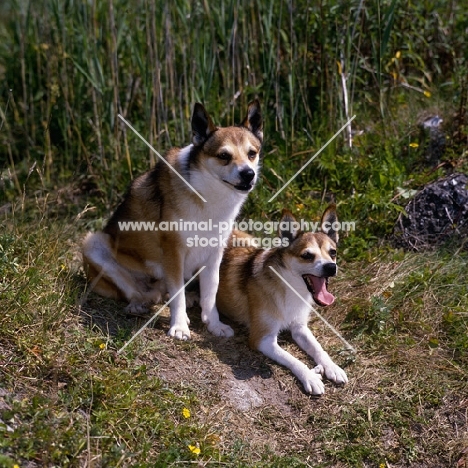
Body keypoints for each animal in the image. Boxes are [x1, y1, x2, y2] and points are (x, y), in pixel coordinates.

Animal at [217, 207, 348, 394]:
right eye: (307, 255)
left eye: (333, 253)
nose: (331, 267)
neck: (289, 288)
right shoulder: (262, 339)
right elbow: (292, 358)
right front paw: (309, 377)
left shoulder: (300, 328)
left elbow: (318, 348)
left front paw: (332, 367)